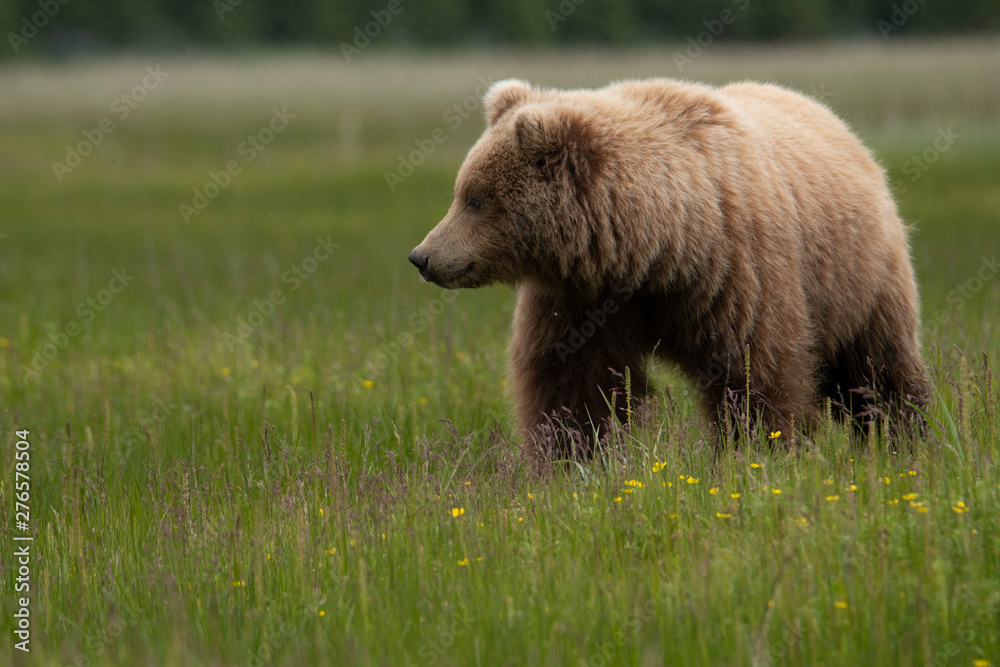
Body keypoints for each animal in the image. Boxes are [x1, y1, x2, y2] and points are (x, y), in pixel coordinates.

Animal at [409, 78, 930, 458]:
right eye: (461, 191)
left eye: (476, 199)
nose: (422, 256)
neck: (656, 249)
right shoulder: (584, 298)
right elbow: (573, 382)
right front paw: (574, 457)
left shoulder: (736, 271)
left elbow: (754, 370)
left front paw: (758, 451)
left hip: (858, 276)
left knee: (876, 367)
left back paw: (904, 438)